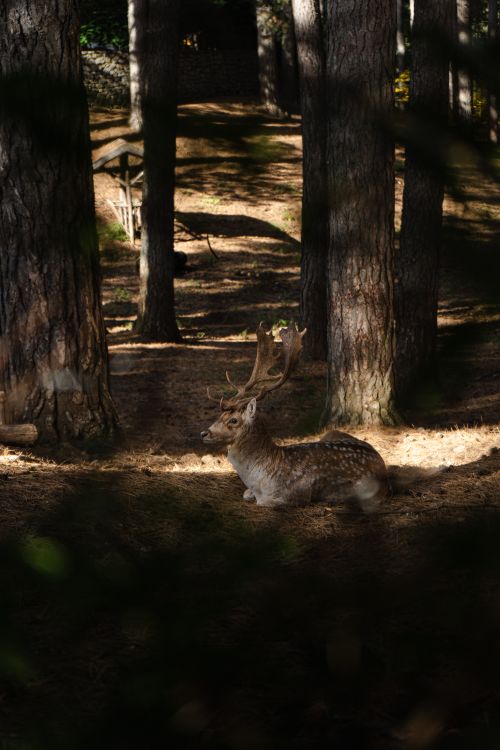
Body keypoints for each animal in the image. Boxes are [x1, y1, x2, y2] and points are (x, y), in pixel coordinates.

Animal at [200, 323, 389, 508]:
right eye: (219, 416)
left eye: (233, 420)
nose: (204, 433)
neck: (260, 481)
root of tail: (382, 464)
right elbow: (246, 494)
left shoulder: (295, 495)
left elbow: (262, 502)